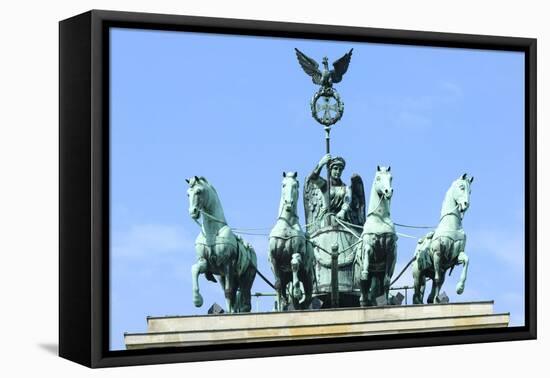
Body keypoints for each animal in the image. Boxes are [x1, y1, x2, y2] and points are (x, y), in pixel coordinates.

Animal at [187, 177, 258, 314]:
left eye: (198, 192)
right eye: (188, 194)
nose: (192, 212)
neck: (212, 232)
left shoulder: (228, 264)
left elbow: (228, 292)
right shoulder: (205, 262)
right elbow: (195, 269)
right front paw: (197, 300)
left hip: (246, 276)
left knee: (243, 295)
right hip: (222, 277)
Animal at [270, 171, 316, 310]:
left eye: (295, 185)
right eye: (283, 185)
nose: (288, 202)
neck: (287, 225)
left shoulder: (297, 251)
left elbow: (295, 263)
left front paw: (296, 291)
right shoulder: (273, 259)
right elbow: (278, 285)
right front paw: (280, 306)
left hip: (308, 277)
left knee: (307, 297)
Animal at [360, 166, 398, 308]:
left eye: (391, 177)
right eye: (378, 178)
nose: (388, 191)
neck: (380, 219)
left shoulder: (390, 251)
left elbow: (387, 281)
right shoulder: (369, 245)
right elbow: (367, 252)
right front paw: (365, 272)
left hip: (378, 275)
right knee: (363, 295)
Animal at [414, 173, 474, 304]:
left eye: (470, 191)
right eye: (462, 187)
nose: (466, 204)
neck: (451, 225)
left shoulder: (454, 257)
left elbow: (466, 260)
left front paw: (460, 288)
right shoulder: (437, 254)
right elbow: (437, 280)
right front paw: (436, 299)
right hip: (418, 273)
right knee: (417, 290)